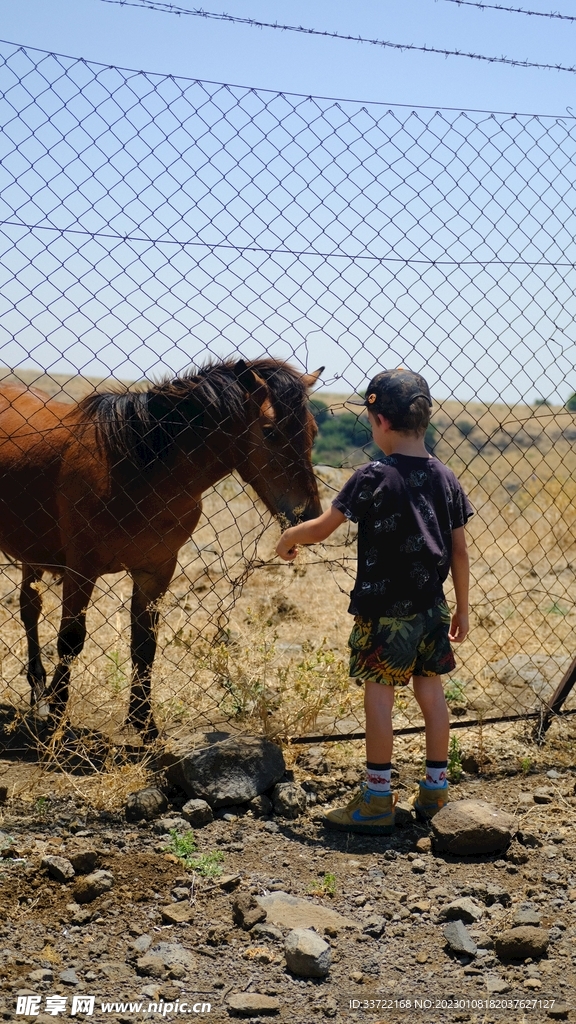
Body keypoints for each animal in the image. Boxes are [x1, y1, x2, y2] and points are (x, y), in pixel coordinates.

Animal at [0, 357, 323, 740]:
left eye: (313, 432)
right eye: (270, 431)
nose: (309, 516)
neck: (136, 469)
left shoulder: (156, 571)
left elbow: (145, 645)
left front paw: (144, 724)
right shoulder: (81, 569)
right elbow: (70, 641)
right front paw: (57, 721)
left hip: (32, 554)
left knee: (29, 608)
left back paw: (38, 692)